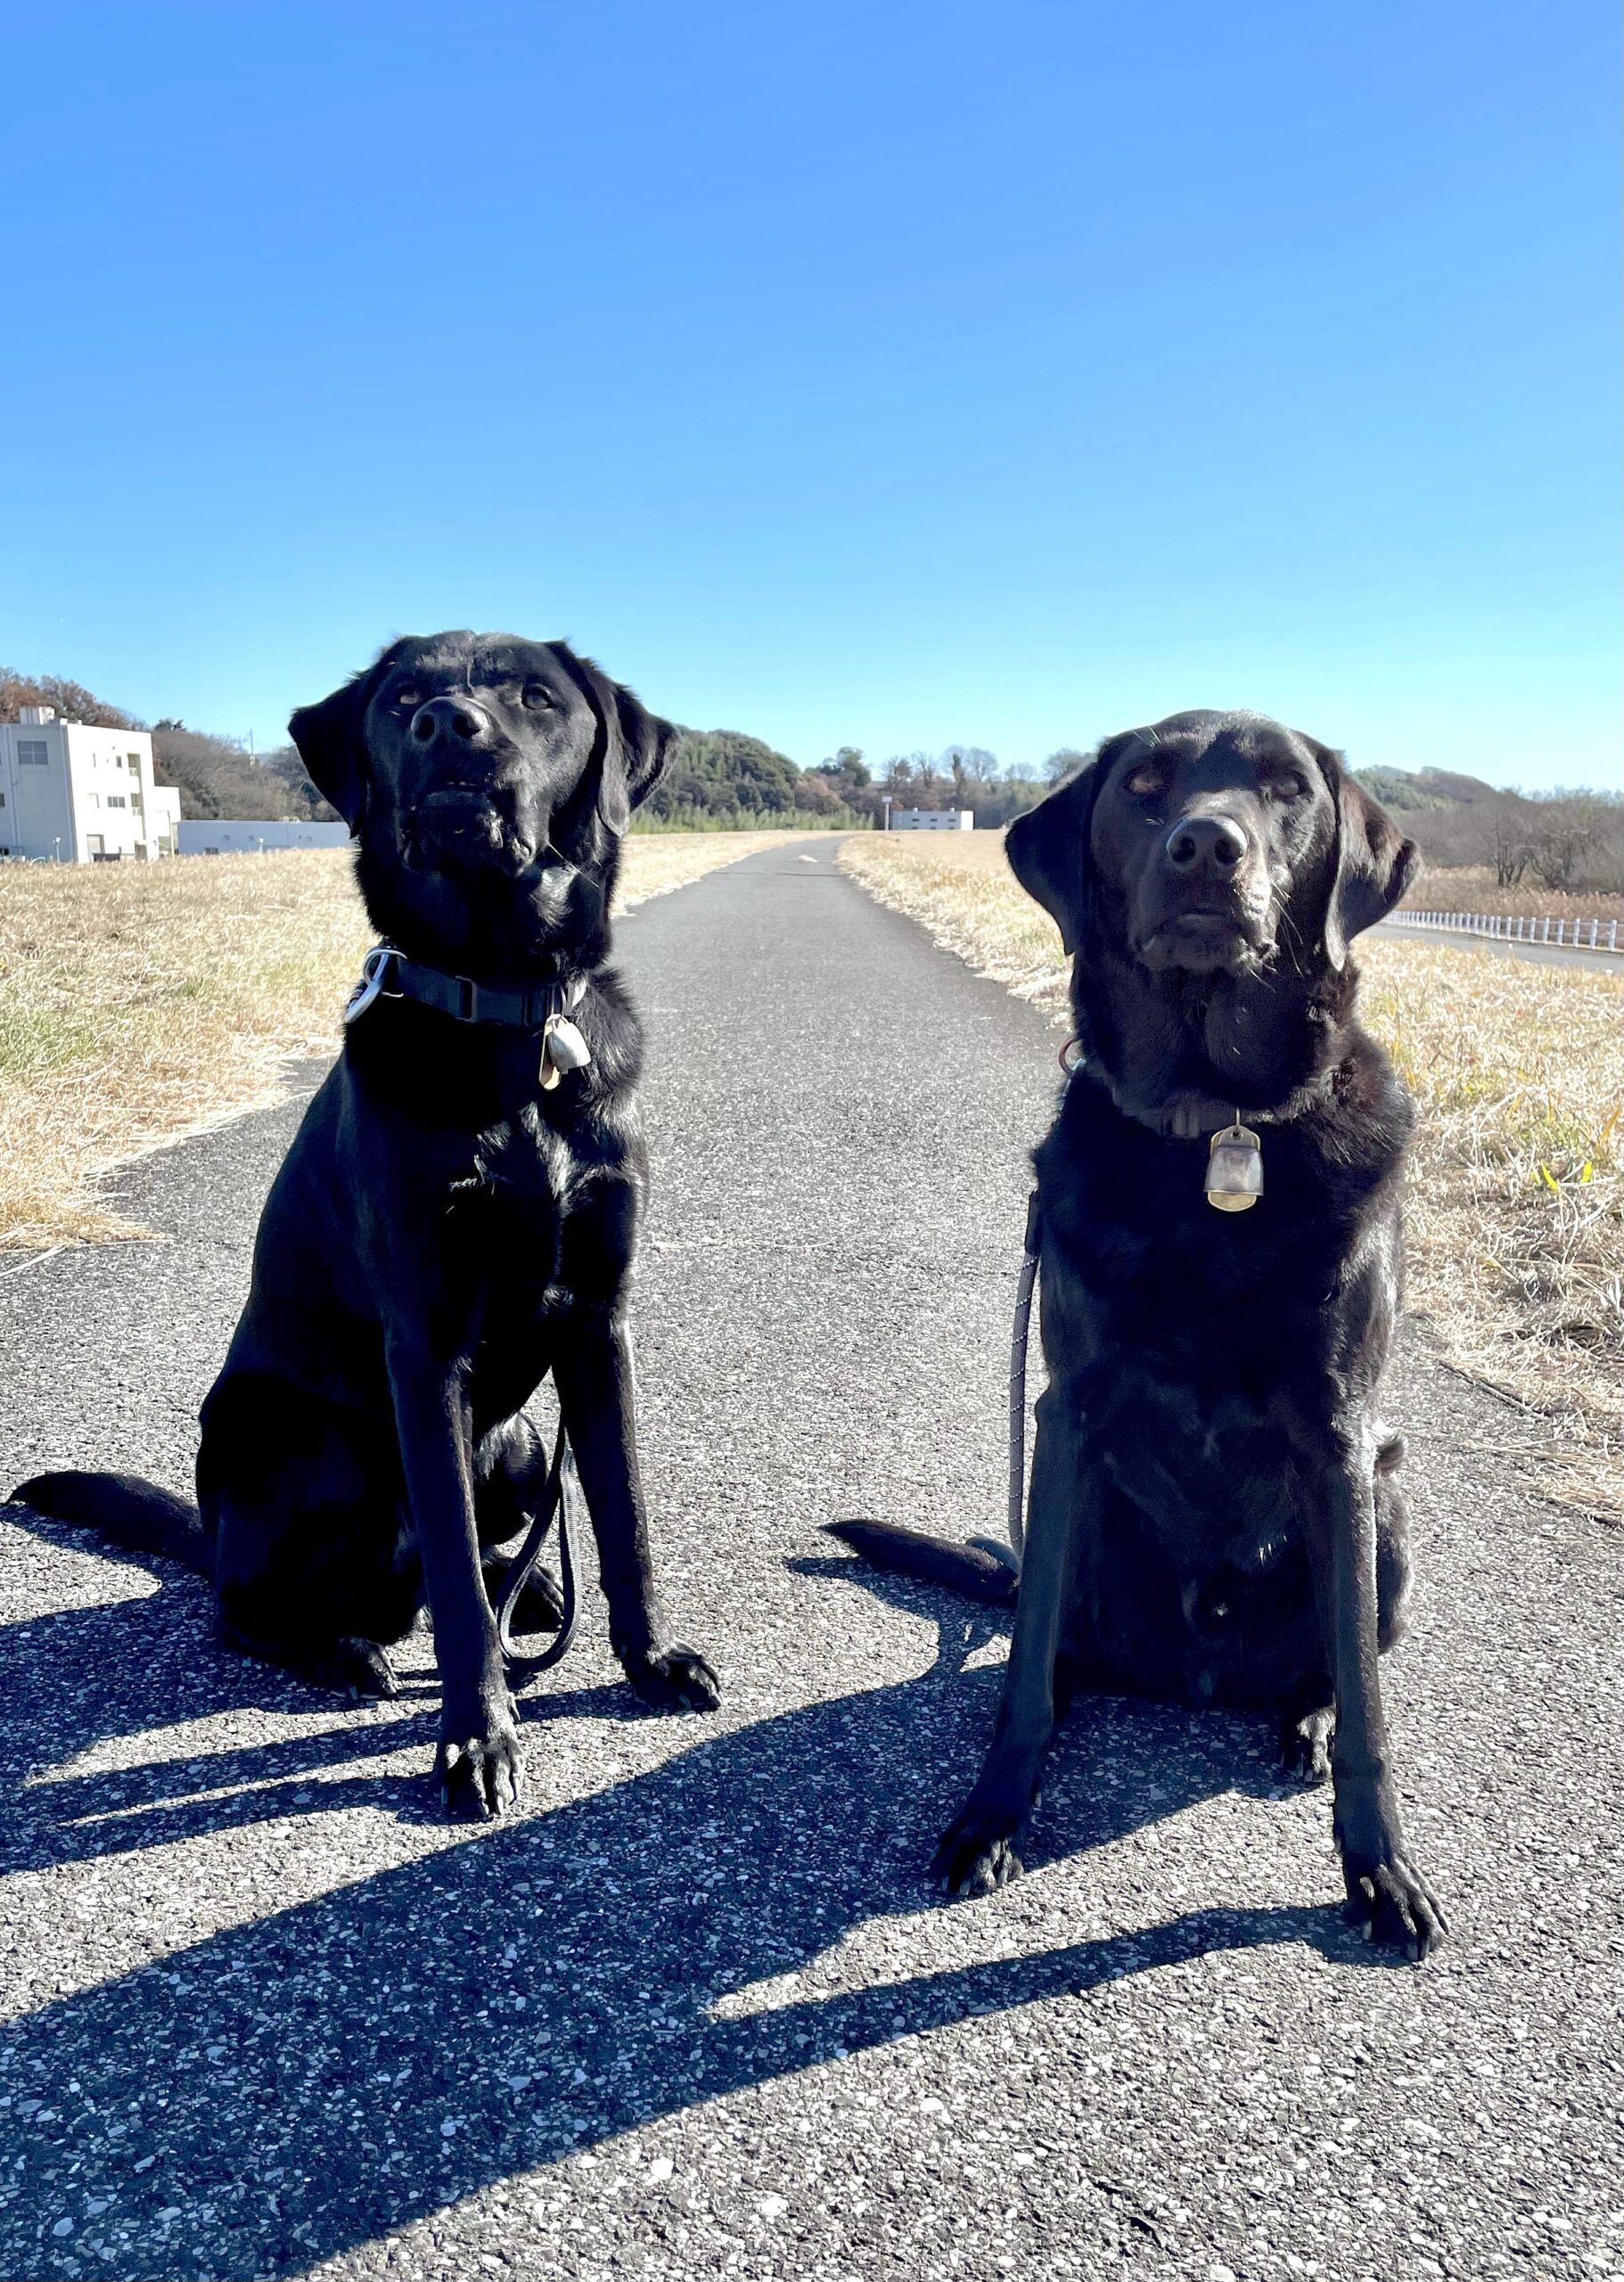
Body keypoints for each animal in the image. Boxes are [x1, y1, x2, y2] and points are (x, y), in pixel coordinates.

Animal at [14, 632, 720, 1819]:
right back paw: (344, 1647)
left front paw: (649, 1658)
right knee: (250, 1605)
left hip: (519, 1445)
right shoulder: (422, 1352)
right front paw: (476, 1738)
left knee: (472, 1554)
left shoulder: (597, 1323)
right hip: (296, 1442)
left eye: (536, 697)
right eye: (402, 701)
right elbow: (454, 1579)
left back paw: (529, 1592)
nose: (449, 726)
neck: (505, 1012)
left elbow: (625, 1518)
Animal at [831, 710, 1445, 1956]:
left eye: (1285, 789)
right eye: (1147, 786)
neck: (1213, 1130)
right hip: (1087, 1535)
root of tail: (1195, 1676)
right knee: (1047, 1641)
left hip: (1390, 1493)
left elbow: (1368, 1698)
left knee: (1329, 1665)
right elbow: (1022, 1676)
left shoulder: (1341, 1434)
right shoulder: (1066, 1411)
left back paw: (1301, 1722)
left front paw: (1378, 1868)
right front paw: (991, 1811)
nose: (1207, 847)